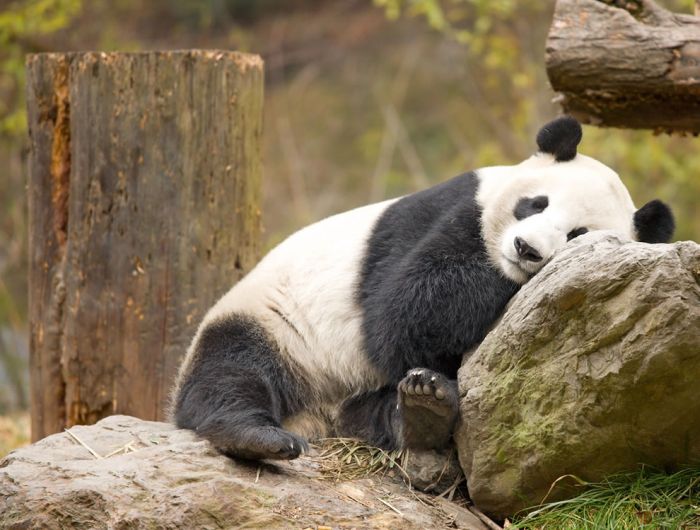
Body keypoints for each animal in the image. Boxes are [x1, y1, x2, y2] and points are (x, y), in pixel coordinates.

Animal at [170, 115, 672, 458]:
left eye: (577, 234)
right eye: (536, 204)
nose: (526, 249)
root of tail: (319, 417)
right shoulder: (448, 211)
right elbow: (403, 311)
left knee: (377, 409)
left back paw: (422, 410)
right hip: (274, 322)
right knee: (231, 370)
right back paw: (257, 436)